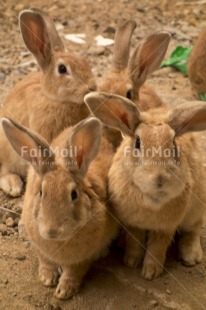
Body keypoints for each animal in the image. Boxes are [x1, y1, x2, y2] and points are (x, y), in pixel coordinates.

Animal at [1, 115, 118, 298]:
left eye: (74, 194)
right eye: (41, 192)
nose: (52, 231)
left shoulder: (82, 258)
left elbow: (74, 272)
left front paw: (64, 291)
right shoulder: (40, 249)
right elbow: (45, 262)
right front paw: (47, 278)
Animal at [84, 92, 206, 280]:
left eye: (173, 144)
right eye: (138, 143)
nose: (160, 179)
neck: (152, 198)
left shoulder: (166, 227)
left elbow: (157, 247)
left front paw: (150, 273)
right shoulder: (133, 223)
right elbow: (134, 241)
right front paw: (131, 261)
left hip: (196, 209)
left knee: (194, 228)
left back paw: (191, 256)